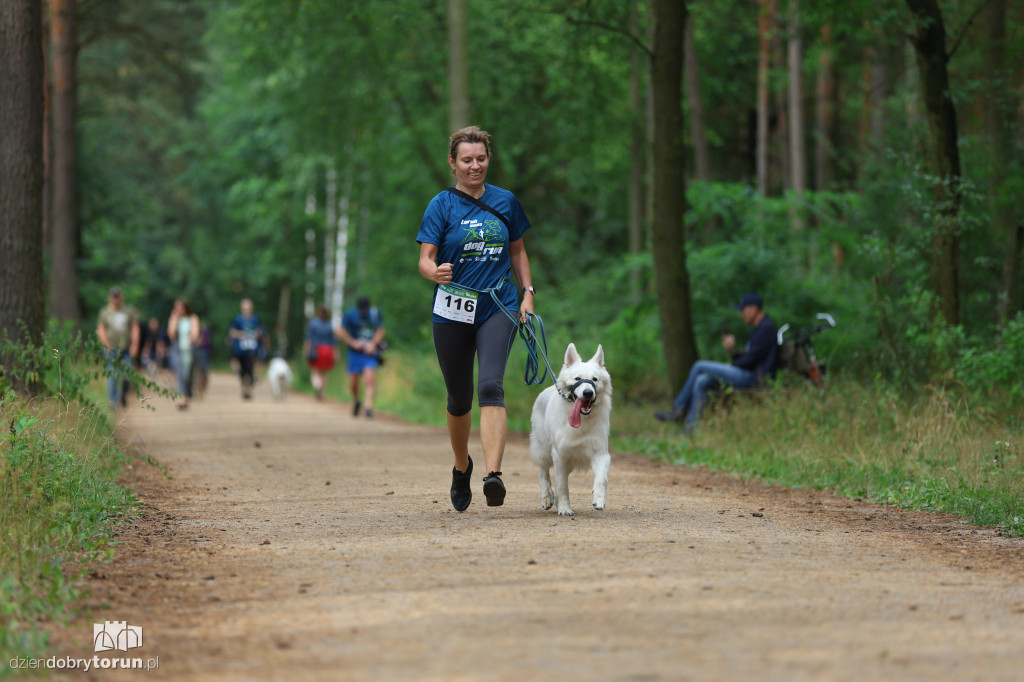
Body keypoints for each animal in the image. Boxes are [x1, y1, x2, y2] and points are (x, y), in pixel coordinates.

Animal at [532, 342, 610, 512]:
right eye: (578, 379)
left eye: (595, 379)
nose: (588, 392)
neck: (581, 420)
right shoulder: (560, 456)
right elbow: (562, 487)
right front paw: (564, 509)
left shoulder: (600, 454)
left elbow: (601, 479)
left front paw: (598, 499)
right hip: (543, 451)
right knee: (542, 473)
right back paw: (547, 497)